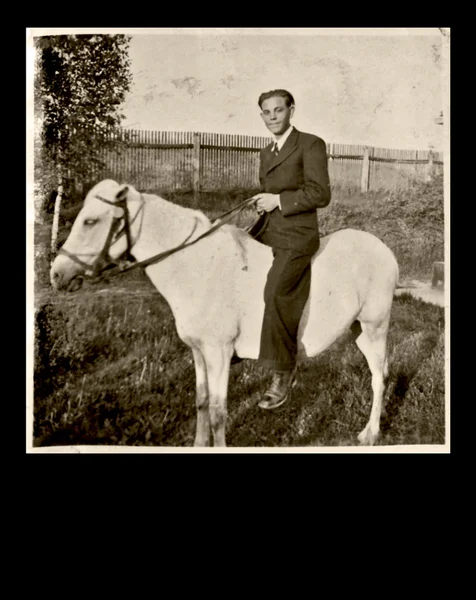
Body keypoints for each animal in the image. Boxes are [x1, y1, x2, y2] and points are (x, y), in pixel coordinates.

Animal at [50, 178, 400, 446]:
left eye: (91, 221)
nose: (56, 273)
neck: (197, 263)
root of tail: (384, 249)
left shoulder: (219, 353)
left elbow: (219, 412)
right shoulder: (198, 352)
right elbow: (202, 402)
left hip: (375, 327)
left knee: (378, 376)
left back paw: (371, 433)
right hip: (358, 329)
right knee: (379, 372)